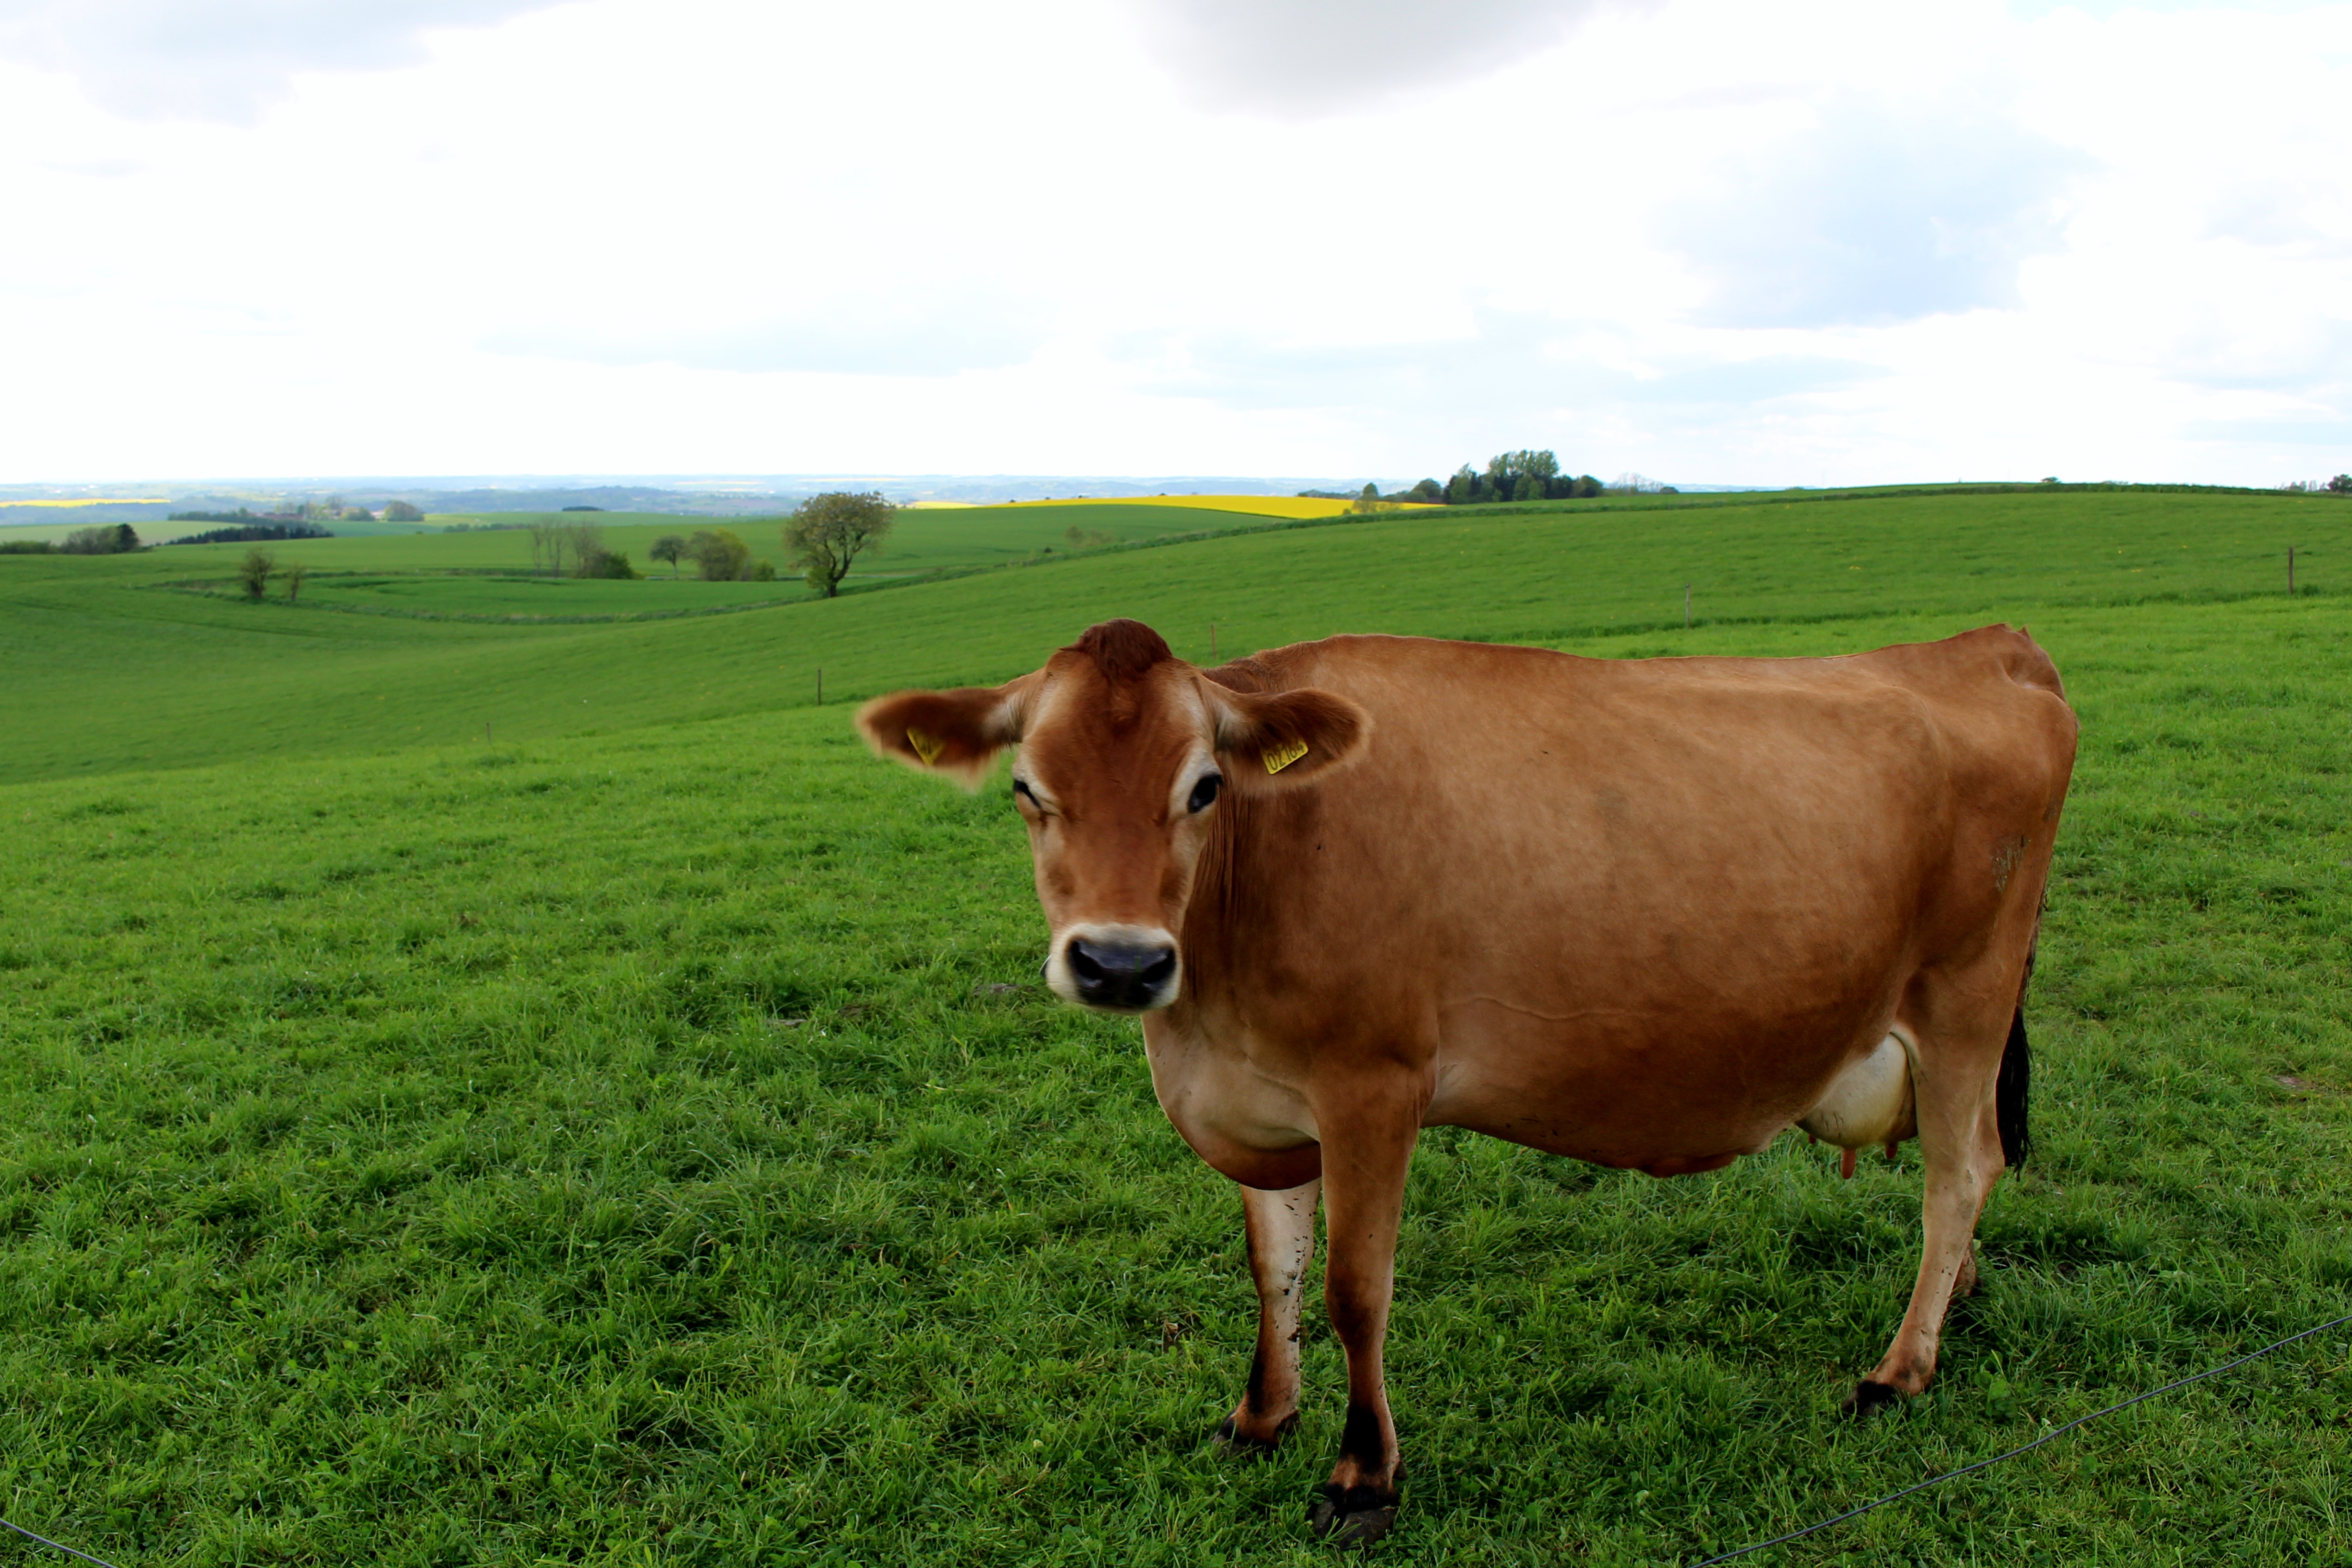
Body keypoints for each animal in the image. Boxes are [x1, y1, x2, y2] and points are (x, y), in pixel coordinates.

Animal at [861, 616, 2079, 1542]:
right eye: (1027, 788)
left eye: (1203, 787)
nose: (1119, 962)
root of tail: (1987, 645)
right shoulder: (1256, 1101)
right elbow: (1273, 1269)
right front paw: (1260, 1416)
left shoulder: (1374, 1083)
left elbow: (1354, 1286)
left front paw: (1363, 1476)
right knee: (1960, 1179)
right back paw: (1954, 1301)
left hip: (1964, 997)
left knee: (1959, 1172)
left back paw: (1900, 1367)